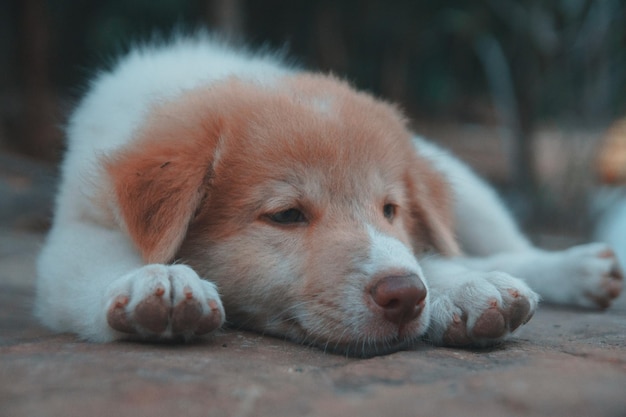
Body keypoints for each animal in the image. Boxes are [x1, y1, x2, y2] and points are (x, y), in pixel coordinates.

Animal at [34, 34, 620, 356]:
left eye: (390, 210)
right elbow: (104, 264)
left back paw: (575, 268)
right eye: (287, 215)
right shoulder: (78, 227)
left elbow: (425, 256)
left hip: (462, 183)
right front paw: (162, 280)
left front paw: (464, 290)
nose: (406, 296)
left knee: (496, 246)